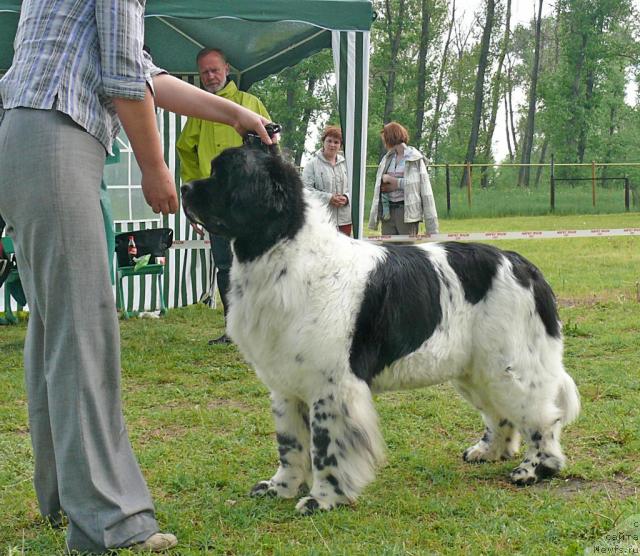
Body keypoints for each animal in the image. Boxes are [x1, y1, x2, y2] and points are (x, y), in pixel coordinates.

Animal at [180, 146, 580, 516]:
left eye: (224, 175)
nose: (183, 187)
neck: (283, 250)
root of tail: (522, 264)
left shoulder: (332, 387)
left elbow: (325, 447)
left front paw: (322, 499)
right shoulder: (286, 386)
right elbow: (290, 444)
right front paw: (281, 487)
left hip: (508, 365)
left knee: (542, 417)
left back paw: (534, 469)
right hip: (476, 369)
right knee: (501, 414)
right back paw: (489, 450)